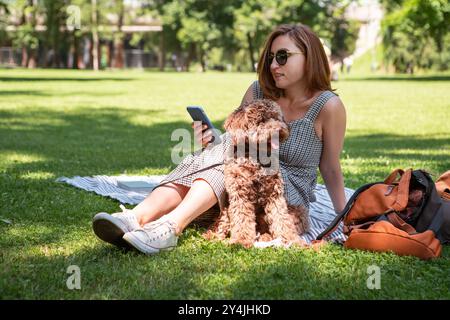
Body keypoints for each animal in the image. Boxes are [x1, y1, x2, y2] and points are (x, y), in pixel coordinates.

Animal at [203, 99, 310, 248]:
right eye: (261, 120)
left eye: (276, 118)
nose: (279, 130)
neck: (257, 158)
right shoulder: (240, 194)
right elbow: (242, 219)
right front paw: (241, 241)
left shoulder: (275, 195)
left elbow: (282, 219)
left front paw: (291, 239)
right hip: (225, 209)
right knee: (221, 225)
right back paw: (212, 235)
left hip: (298, 209)